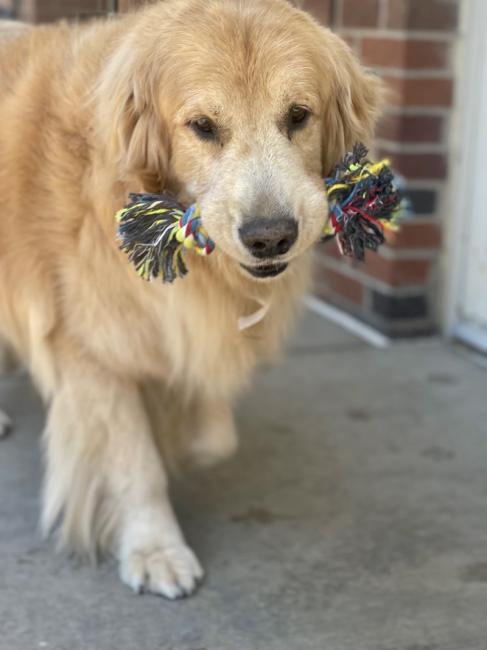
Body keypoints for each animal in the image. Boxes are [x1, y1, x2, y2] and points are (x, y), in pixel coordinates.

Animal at [0, 0, 384, 596]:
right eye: (202, 127)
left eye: (299, 115)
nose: (270, 237)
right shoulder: (91, 349)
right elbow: (135, 462)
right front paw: (155, 546)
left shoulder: (196, 328)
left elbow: (213, 430)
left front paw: (188, 434)